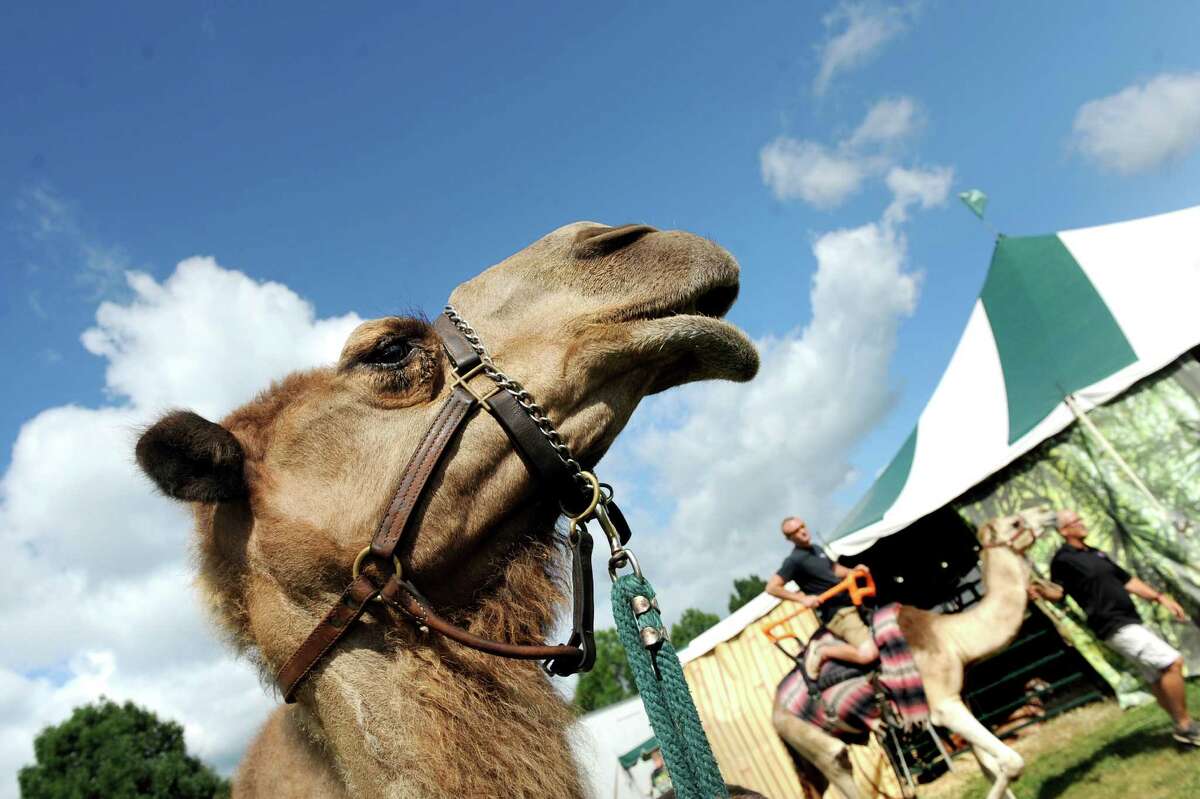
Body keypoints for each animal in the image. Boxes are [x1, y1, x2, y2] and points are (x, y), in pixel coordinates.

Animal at [772, 511, 1046, 796]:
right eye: (1015, 523)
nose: (1046, 513)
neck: (952, 638)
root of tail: (774, 712)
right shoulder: (944, 705)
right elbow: (1012, 763)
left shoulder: (960, 699)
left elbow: (989, 767)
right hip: (814, 741)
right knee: (839, 763)